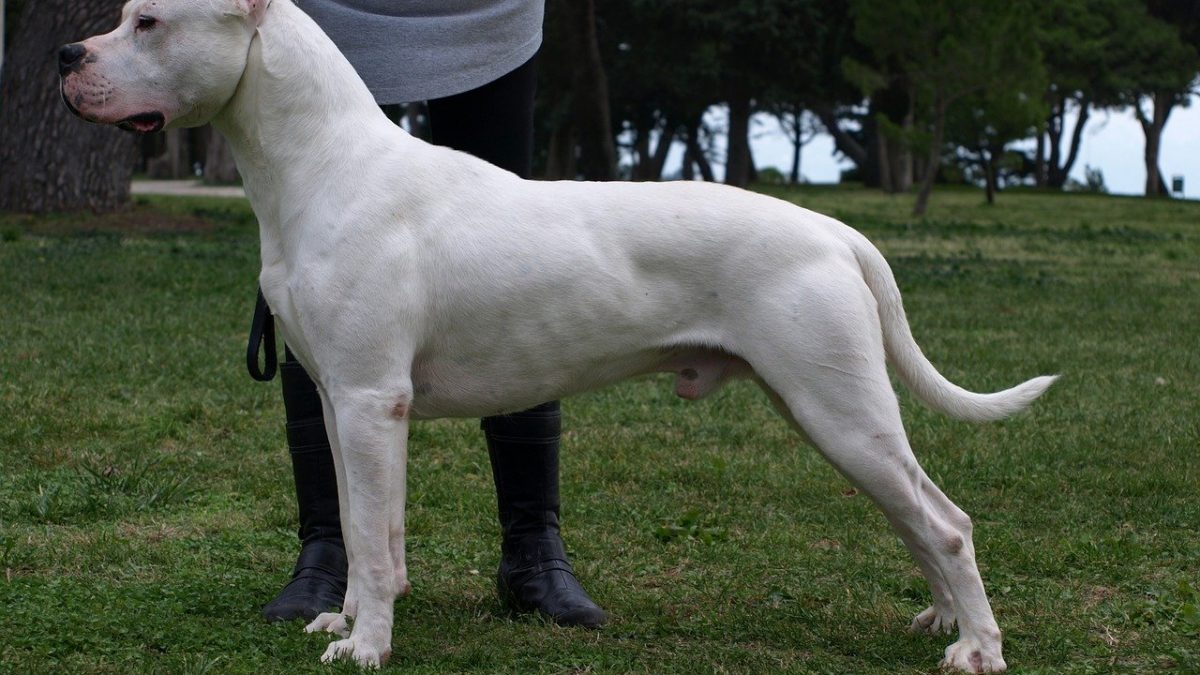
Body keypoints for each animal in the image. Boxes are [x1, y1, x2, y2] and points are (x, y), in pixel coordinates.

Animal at [58, 1, 1051, 667]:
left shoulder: (373, 401)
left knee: (946, 522)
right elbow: (362, 526)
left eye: (147, 20)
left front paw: (367, 646)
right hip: (830, 409)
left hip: (838, 408)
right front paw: (344, 618)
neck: (323, 161)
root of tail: (838, 232)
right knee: (920, 515)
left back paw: (977, 648)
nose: (67, 52)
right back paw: (943, 621)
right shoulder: (342, 404)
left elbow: (372, 538)